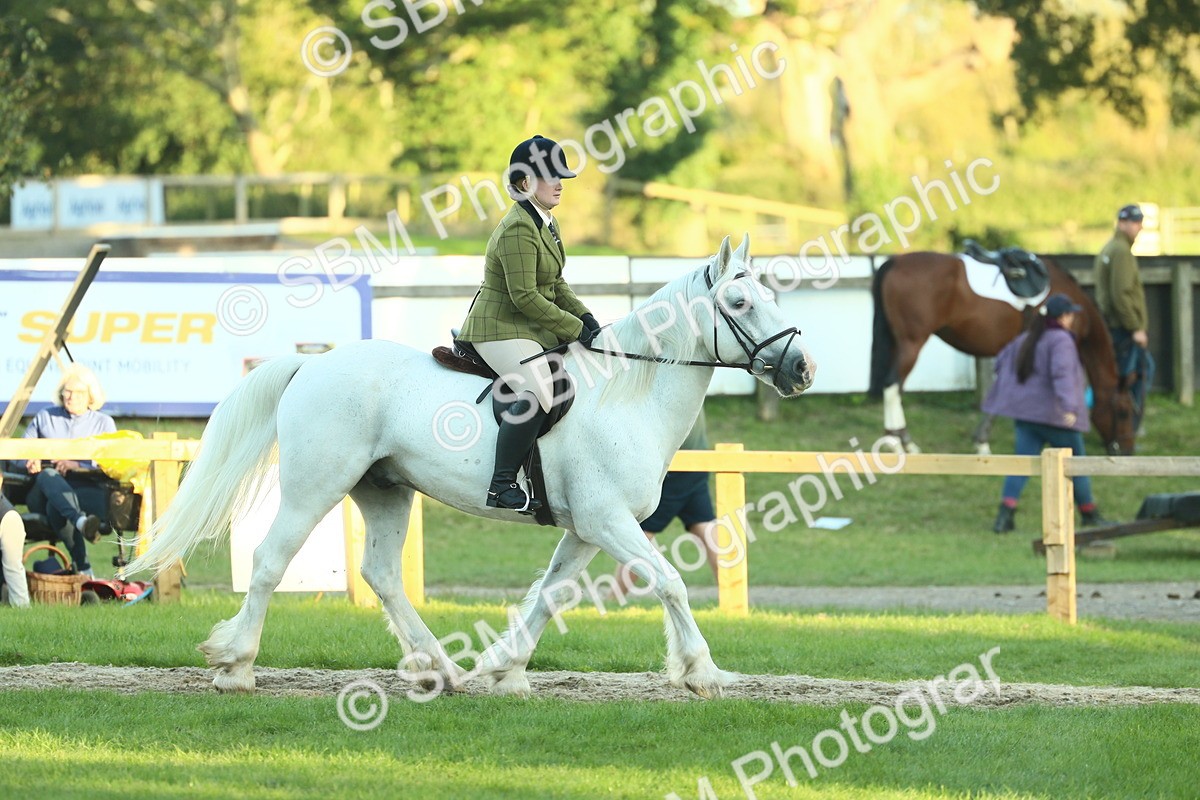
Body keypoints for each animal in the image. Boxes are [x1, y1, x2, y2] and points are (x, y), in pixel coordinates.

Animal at [129, 235, 815, 699]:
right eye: (738, 301)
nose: (802, 368)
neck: (628, 393)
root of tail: (313, 363)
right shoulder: (609, 522)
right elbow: (670, 582)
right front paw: (702, 671)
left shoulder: (587, 529)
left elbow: (550, 595)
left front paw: (504, 668)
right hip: (314, 486)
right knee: (272, 561)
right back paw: (235, 666)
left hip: (384, 490)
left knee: (382, 574)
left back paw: (442, 669)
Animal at [868, 252, 1135, 455]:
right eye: (1123, 412)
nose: (1127, 449)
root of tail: (895, 262)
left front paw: (981, 440)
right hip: (911, 343)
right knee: (892, 385)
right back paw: (901, 443)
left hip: (898, 344)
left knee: (894, 387)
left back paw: (894, 439)